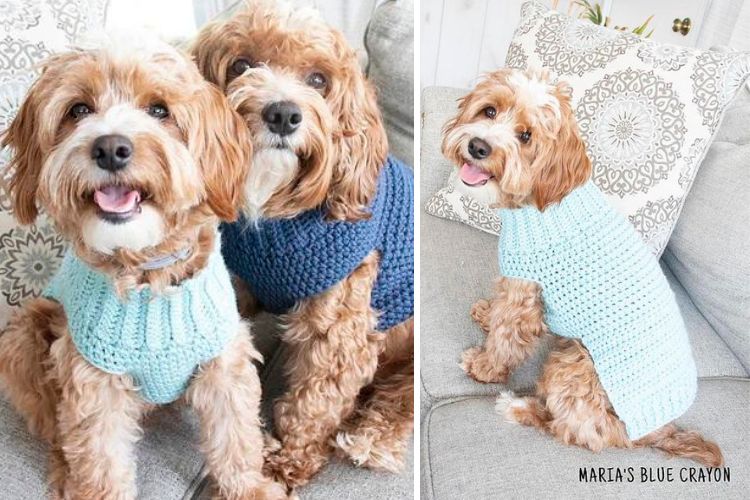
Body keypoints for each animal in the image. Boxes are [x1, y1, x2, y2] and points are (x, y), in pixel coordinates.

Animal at [0, 37, 288, 498]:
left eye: (159, 110)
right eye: (78, 110)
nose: (110, 148)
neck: (148, 273)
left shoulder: (224, 361)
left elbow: (235, 434)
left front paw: (251, 486)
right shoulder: (93, 379)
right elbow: (99, 459)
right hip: (22, 337)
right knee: (54, 427)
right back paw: (64, 472)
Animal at [192, 0, 418, 486]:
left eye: (318, 80)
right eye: (241, 65)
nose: (283, 114)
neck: (273, 212)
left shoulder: (340, 330)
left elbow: (314, 401)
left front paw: (286, 462)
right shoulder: (239, 281)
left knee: (399, 401)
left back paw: (369, 438)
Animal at [440, 68, 724, 466]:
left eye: (526, 136)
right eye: (490, 111)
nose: (479, 147)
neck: (542, 203)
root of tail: (657, 430)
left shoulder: (525, 293)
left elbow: (506, 336)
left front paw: (483, 366)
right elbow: (499, 313)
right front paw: (486, 313)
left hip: (575, 368)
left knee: (577, 433)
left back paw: (519, 407)